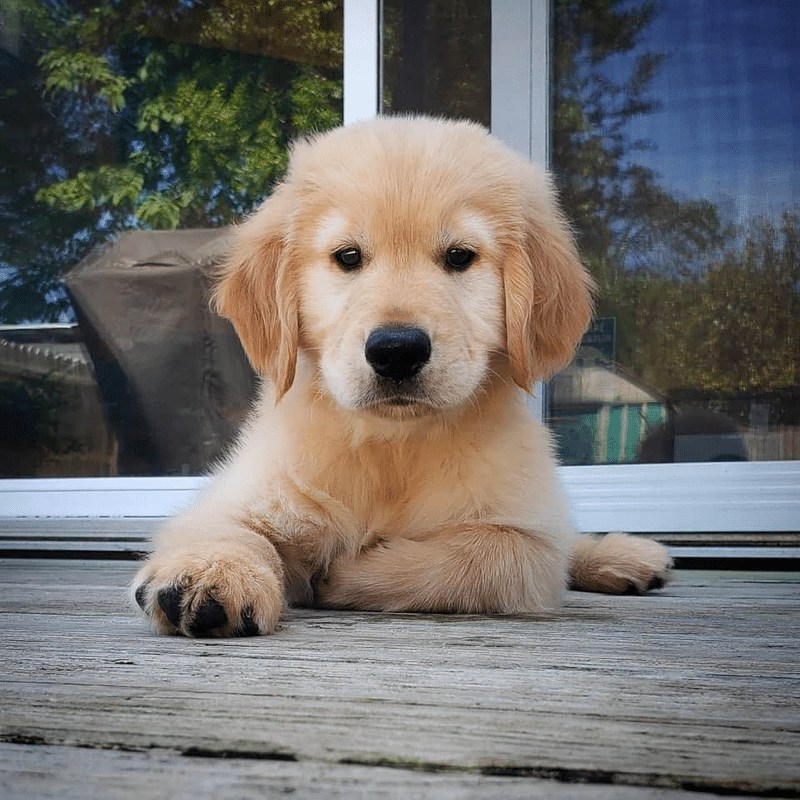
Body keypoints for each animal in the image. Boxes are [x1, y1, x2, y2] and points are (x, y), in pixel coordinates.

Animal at [134, 115, 672, 636]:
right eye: (348, 257)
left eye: (459, 256)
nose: (397, 351)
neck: (392, 447)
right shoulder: (248, 492)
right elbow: (226, 528)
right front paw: (211, 573)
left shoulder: (524, 536)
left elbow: (476, 558)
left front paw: (344, 574)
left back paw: (626, 556)